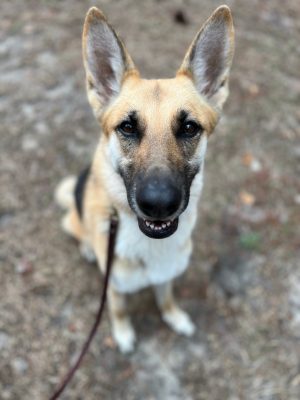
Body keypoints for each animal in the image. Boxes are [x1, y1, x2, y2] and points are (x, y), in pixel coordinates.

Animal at [55, 4, 234, 352]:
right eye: (127, 127)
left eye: (189, 128)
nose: (159, 205)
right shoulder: (113, 287)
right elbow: (119, 310)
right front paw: (124, 335)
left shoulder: (166, 277)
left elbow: (166, 299)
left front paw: (174, 317)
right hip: (73, 221)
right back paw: (87, 248)